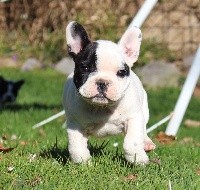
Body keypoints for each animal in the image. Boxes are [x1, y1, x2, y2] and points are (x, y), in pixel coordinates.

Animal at [63, 21, 155, 165]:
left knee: (143, 128)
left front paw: (138, 159)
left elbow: (132, 142)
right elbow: (76, 146)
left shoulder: (134, 118)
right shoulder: (75, 124)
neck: (102, 108)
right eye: (85, 68)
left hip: (144, 111)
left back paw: (146, 143)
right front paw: (84, 162)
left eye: (121, 72)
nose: (102, 82)